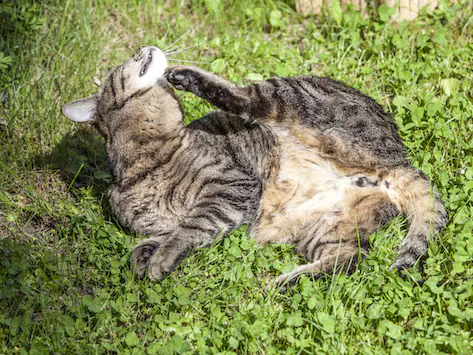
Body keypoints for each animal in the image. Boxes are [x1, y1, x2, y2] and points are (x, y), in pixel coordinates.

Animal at [61, 46, 446, 286]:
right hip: (326, 226)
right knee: (347, 260)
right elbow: (150, 241)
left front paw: (162, 259)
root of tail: (399, 160)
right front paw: (146, 257)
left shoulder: (231, 187)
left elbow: (189, 229)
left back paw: (186, 75)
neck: (149, 159)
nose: (143, 47)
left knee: (243, 96)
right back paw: (286, 283)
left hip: (291, 96)